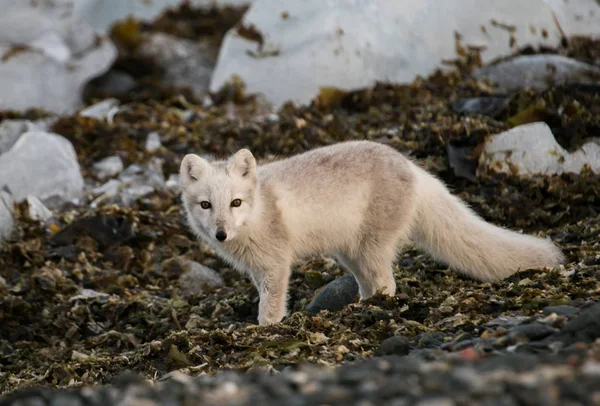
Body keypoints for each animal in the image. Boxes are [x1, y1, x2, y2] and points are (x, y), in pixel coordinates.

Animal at [180, 141, 564, 326]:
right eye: (206, 205)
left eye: (236, 202)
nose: (220, 234)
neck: (260, 210)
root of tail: (412, 167)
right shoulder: (258, 270)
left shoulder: (275, 264)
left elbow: (271, 304)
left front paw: (265, 329)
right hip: (350, 253)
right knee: (371, 284)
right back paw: (359, 307)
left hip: (372, 247)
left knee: (386, 284)